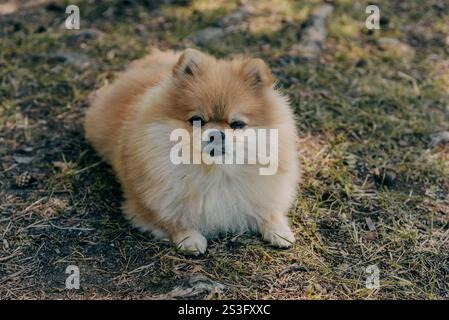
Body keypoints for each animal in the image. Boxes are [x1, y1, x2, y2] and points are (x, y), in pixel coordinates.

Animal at [85, 48, 300, 255]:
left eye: (237, 124)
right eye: (197, 120)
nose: (216, 134)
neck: (214, 171)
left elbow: (269, 209)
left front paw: (279, 230)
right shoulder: (145, 205)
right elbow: (169, 218)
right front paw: (189, 238)